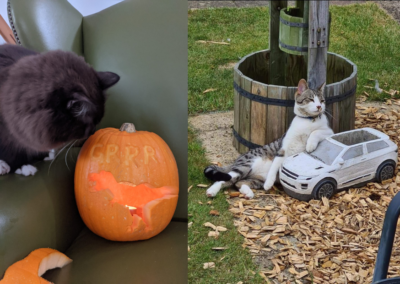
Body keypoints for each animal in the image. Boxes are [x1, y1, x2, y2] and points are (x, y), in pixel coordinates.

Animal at [0, 44, 119, 175]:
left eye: (97, 122)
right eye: (88, 125)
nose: (93, 131)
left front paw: (43, 156)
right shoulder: (9, 131)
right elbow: (13, 151)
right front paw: (22, 166)